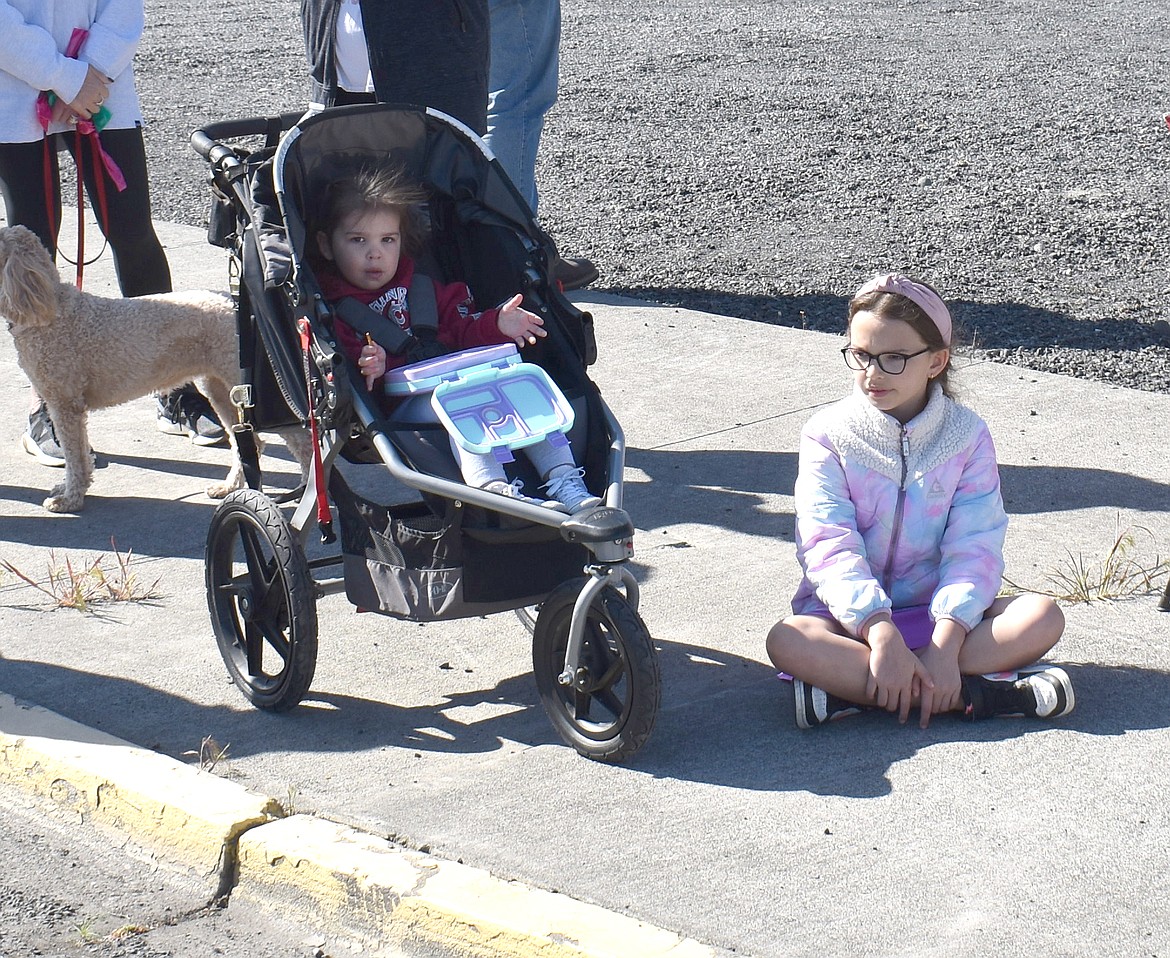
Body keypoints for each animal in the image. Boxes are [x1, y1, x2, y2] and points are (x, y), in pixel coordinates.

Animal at [0, 224, 306, 512]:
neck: (49, 313)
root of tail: (240, 306)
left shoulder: (65, 405)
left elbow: (75, 458)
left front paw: (70, 499)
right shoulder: (65, 405)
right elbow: (79, 457)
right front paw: (68, 492)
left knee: (299, 439)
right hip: (222, 390)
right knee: (250, 442)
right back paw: (230, 488)